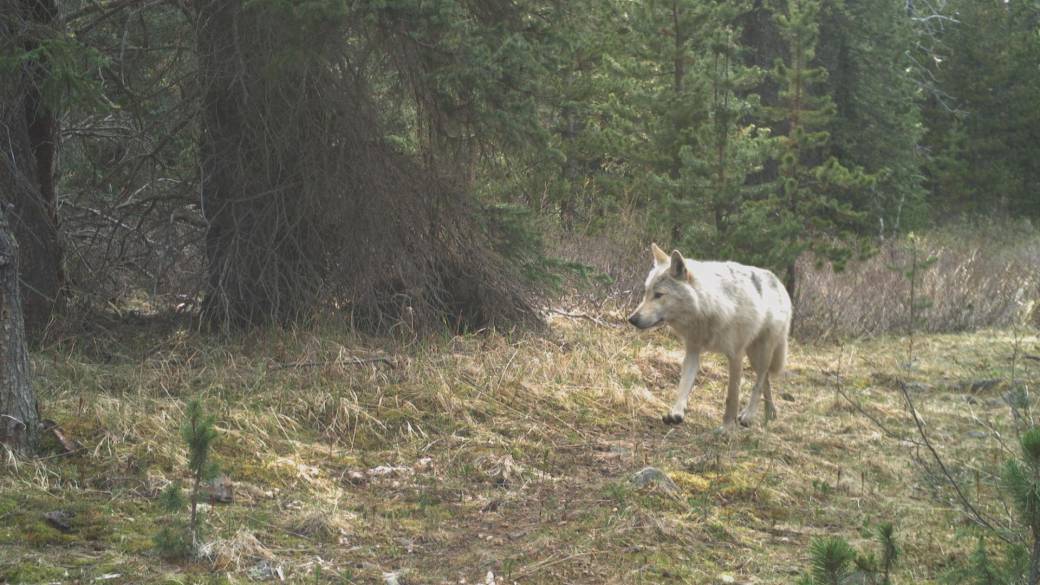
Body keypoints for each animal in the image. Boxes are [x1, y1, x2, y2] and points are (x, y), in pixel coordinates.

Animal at [628, 244, 792, 431]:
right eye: (646, 292)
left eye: (659, 295)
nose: (632, 319)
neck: (707, 309)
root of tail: (779, 283)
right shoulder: (692, 351)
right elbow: (683, 386)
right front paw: (676, 413)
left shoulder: (736, 355)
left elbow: (732, 396)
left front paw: (727, 428)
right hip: (754, 356)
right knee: (765, 380)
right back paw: (769, 413)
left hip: (761, 353)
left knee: (759, 382)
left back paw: (749, 415)